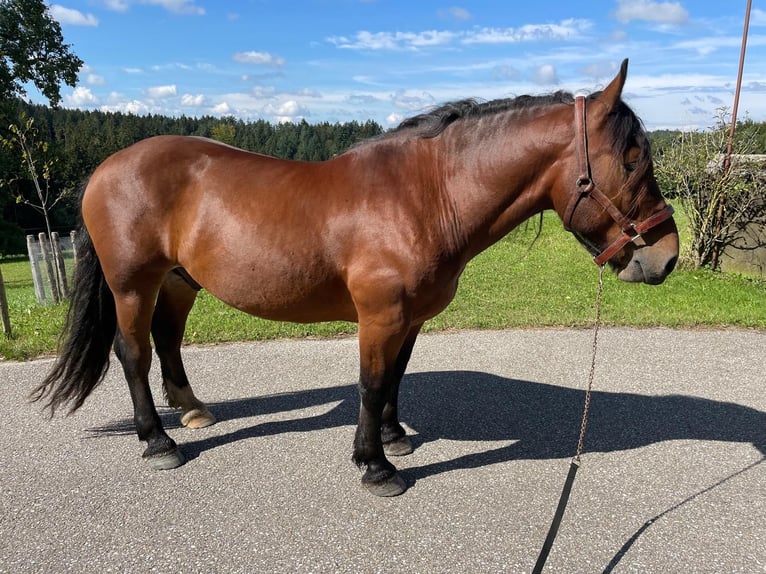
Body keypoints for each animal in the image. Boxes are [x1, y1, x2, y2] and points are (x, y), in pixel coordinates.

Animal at [33, 59, 678, 497]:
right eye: (631, 160)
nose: (667, 257)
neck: (425, 194)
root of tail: (107, 168)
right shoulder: (380, 315)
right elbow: (370, 384)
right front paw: (375, 465)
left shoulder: (409, 319)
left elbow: (394, 378)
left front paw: (393, 437)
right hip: (133, 285)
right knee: (133, 353)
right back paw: (158, 441)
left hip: (178, 280)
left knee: (167, 341)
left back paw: (192, 410)